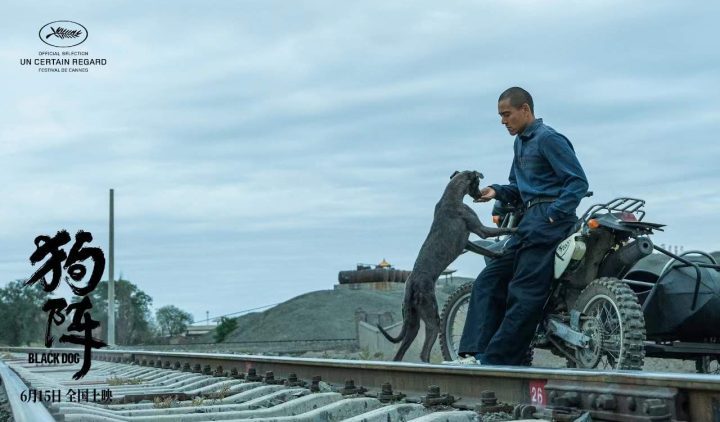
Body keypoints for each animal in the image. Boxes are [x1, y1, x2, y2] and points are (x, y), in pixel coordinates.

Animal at [376, 170, 512, 362]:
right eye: (477, 183)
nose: (480, 195)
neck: (451, 196)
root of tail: (411, 285)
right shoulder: (481, 230)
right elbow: (501, 230)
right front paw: (516, 230)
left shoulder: (467, 243)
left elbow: (485, 250)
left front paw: (498, 254)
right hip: (433, 318)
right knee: (424, 352)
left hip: (413, 322)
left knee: (399, 354)